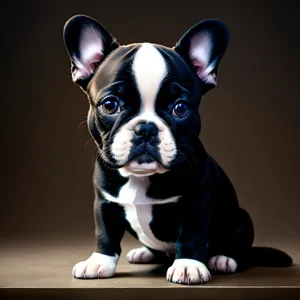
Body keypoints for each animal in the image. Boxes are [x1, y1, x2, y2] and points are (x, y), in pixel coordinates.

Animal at [62, 15, 288, 284]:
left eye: (180, 108)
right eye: (110, 105)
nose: (145, 129)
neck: (142, 177)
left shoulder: (195, 203)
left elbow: (191, 236)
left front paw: (188, 265)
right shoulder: (105, 203)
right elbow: (105, 234)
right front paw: (99, 262)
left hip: (242, 220)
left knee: (240, 249)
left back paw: (223, 259)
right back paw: (145, 253)